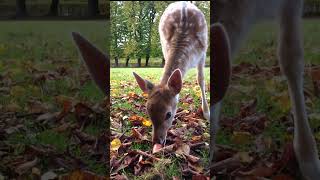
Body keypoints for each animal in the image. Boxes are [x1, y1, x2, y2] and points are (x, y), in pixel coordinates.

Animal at [132, 1, 210, 146]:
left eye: (168, 114)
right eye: (148, 111)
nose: (157, 141)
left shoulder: (203, 53)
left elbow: (201, 80)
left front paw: (207, 113)